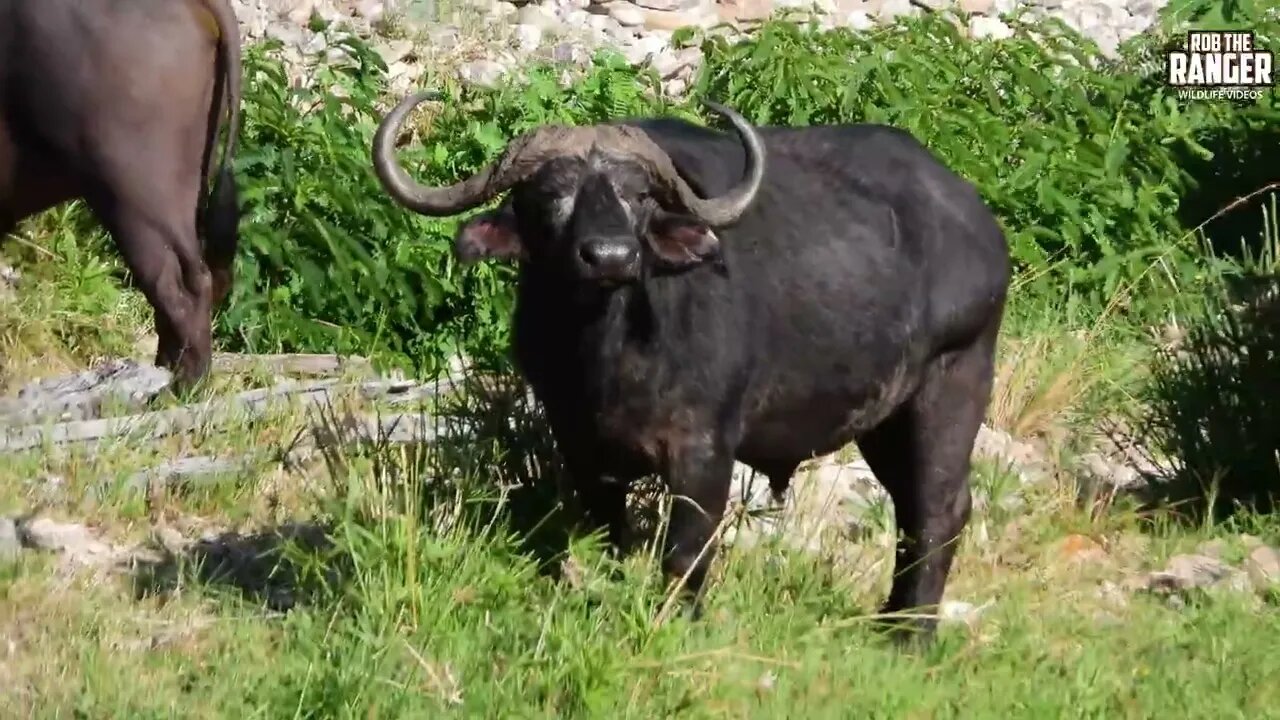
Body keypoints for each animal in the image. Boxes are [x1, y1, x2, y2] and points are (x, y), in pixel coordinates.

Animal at [371, 92, 1008, 640]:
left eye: (638, 196)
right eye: (551, 194)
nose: (610, 257)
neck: (609, 354)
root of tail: (980, 225)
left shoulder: (704, 448)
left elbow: (685, 550)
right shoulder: (579, 442)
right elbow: (606, 535)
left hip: (953, 384)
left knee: (939, 509)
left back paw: (911, 635)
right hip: (883, 422)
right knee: (909, 508)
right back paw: (888, 620)